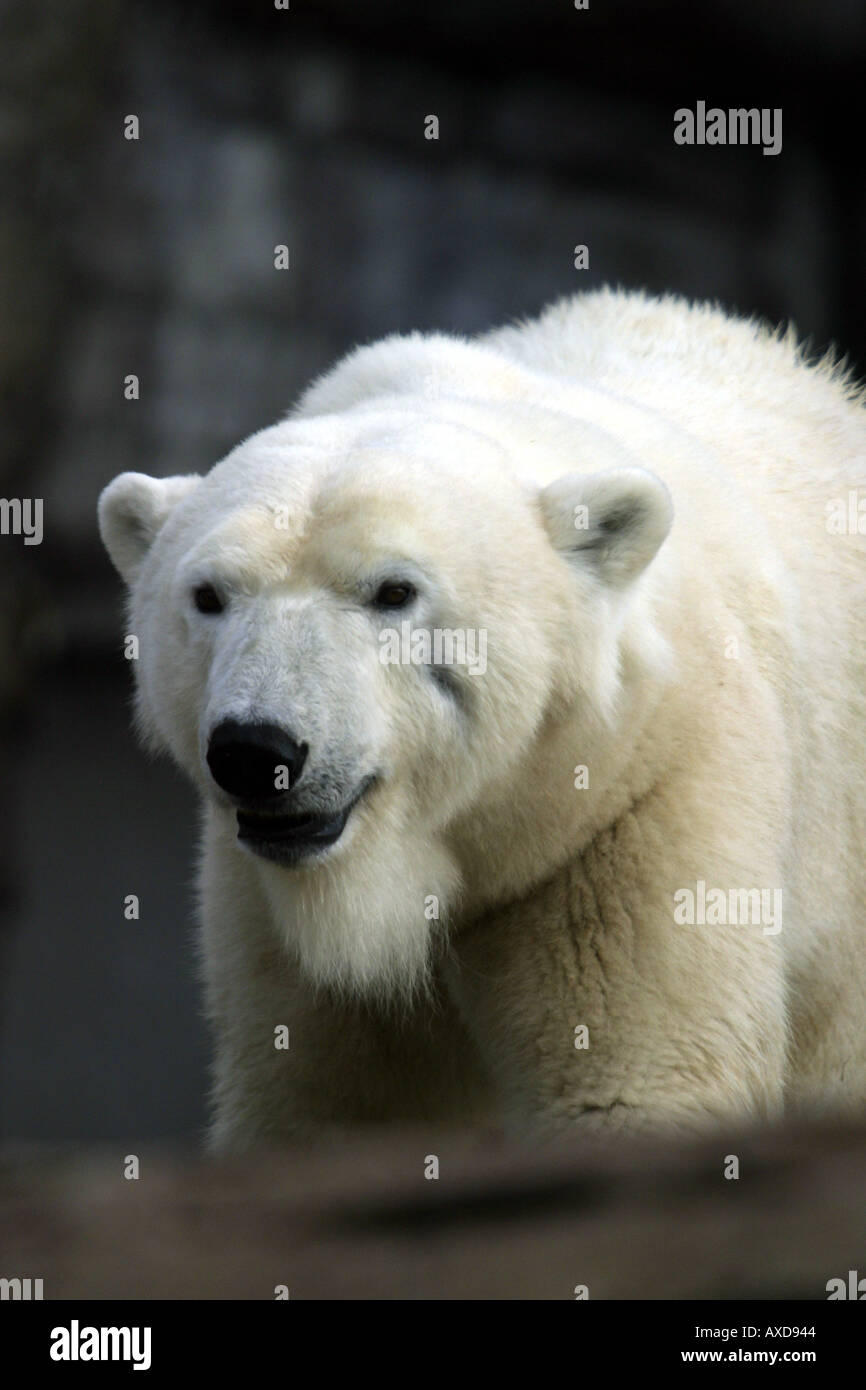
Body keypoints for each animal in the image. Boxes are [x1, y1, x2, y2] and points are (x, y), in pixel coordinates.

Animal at [98, 288, 866, 1149]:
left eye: (394, 591)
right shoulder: (265, 897)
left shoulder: (636, 797)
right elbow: (326, 1103)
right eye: (208, 596)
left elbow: (635, 1079)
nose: (256, 750)